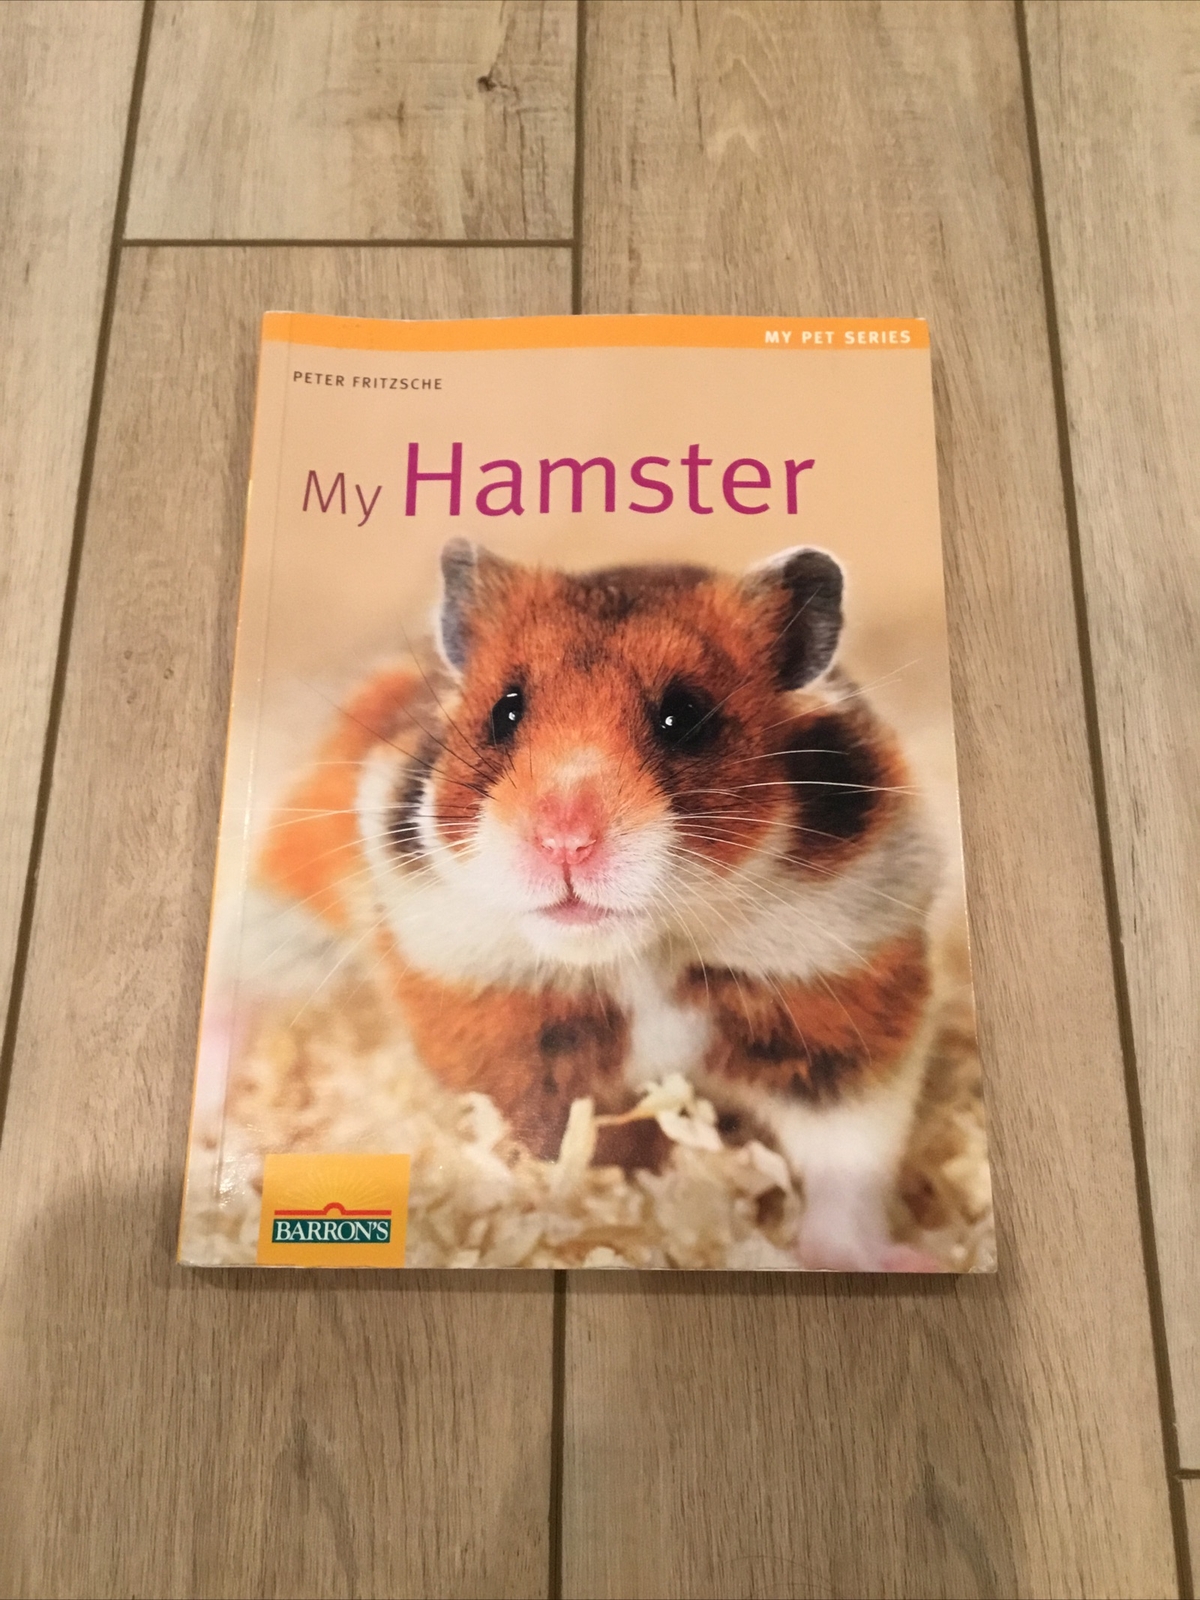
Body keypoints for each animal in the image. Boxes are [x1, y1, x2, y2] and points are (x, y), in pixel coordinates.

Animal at [253, 539, 943, 1271]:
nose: (564, 841)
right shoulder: (505, 1047)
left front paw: (890, 1261)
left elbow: (849, 1162)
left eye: (685, 717)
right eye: (505, 711)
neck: (637, 954)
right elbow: (548, 1147)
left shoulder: (841, 1027)